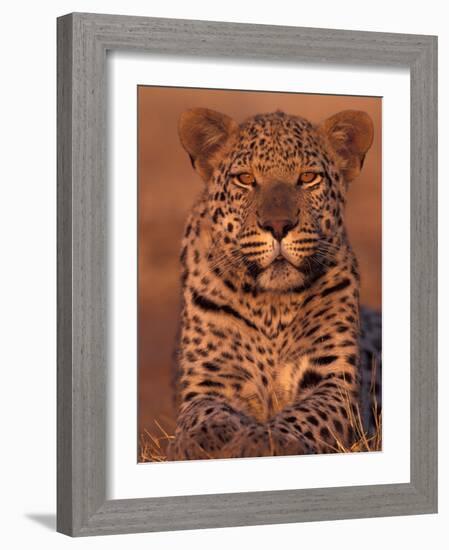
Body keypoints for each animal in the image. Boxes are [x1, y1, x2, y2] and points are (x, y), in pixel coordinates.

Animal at [166, 108, 380, 462]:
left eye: (308, 178)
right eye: (245, 179)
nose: (278, 225)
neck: (270, 305)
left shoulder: (333, 382)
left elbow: (306, 414)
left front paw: (266, 439)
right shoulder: (210, 379)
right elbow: (205, 411)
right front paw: (201, 439)